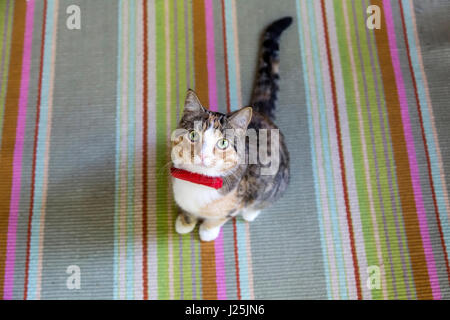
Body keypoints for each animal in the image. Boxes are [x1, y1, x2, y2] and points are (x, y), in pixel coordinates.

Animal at [170, 16, 292, 241]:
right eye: (193, 135)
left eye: (223, 142)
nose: (202, 154)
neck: (198, 181)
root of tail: (260, 114)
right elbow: (187, 211)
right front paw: (185, 221)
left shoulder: (237, 201)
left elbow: (220, 218)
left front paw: (207, 231)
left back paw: (251, 213)